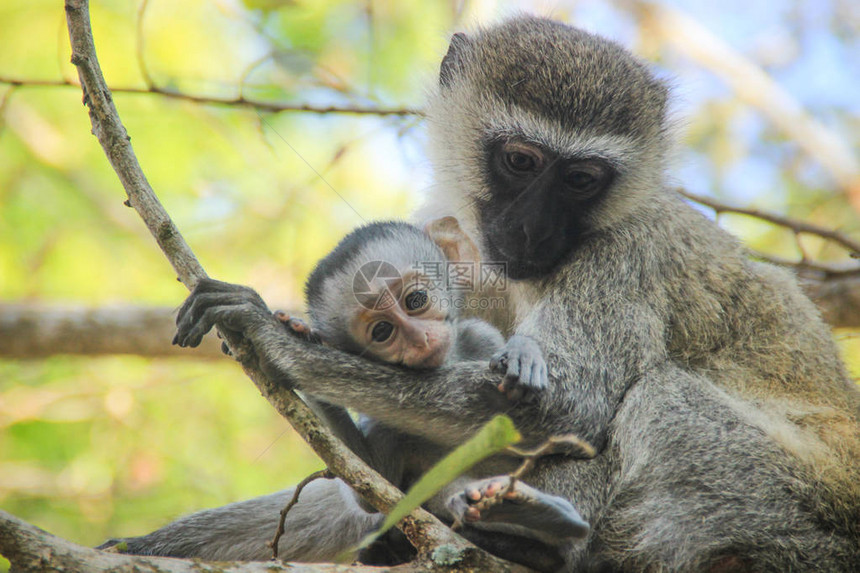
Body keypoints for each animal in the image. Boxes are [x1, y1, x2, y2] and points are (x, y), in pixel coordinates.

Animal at [104, 15, 856, 568]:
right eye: (520, 161)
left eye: (581, 179)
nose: (532, 229)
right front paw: (150, 543)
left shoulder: (624, 254)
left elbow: (568, 406)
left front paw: (280, 343)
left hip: (781, 507)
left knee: (658, 397)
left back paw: (542, 542)